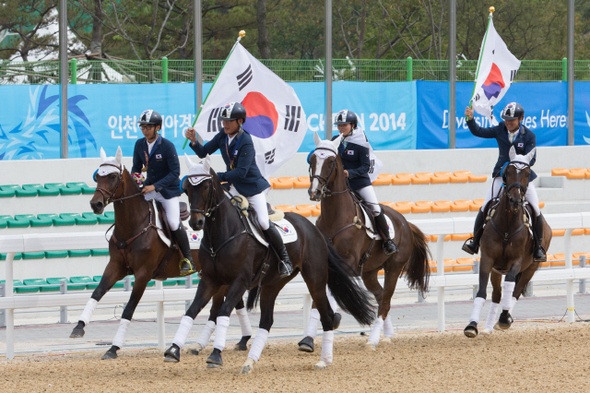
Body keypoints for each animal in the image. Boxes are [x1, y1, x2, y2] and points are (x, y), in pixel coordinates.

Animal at [70, 147, 254, 358]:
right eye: (98, 177)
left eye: (113, 176)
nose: (96, 204)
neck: (135, 224)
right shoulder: (115, 266)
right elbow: (97, 292)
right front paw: (79, 327)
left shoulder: (143, 274)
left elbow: (128, 309)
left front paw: (114, 347)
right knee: (227, 305)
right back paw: (226, 342)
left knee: (218, 307)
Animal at [162, 153, 374, 370]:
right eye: (186, 188)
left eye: (205, 186)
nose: (196, 223)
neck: (222, 235)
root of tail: (315, 229)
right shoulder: (210, 281)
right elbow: (191, 311)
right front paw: (173, 350)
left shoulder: (240, 281)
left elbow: (222, 312)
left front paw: (215, 355)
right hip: (272, 284)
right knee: (266, 321)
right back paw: (250, 362)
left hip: (315, 279)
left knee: (327, 315)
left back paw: (324, 360)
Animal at [308, 132, 432, 350]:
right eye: (312, 160)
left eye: (330, 161)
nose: (314, 192)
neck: (335, 217)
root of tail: (405, 222)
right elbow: (319, 299)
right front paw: (307, 340)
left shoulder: (347, 264)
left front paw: (331, 320)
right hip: (369, 272)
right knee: (381, 296)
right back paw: (387, 335)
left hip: (393, 267)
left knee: (386, 301)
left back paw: (373, 340)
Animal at [464, 147, 552, 336]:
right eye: (509, 171)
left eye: (527, 173)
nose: (515, 200)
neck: (507, 225)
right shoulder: (487, 260)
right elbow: (481, 292)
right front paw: (472, 325)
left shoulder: (516, 261)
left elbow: (511, 284)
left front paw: (505, 318)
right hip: (497, 270)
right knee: (497, 295)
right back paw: (489, 327)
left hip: (531, 268)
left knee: (515, 291)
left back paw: (505, 318)